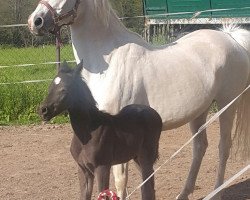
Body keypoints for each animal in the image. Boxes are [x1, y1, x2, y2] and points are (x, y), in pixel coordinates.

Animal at [39, 61, 162, 199]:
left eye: (64, 89)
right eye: (50, 87)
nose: (43, 110)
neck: (87, 134)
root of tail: (155, 114)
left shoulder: (102, 167)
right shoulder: (83, 169)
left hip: (146, 157)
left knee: (148, 188)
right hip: (137, 158)